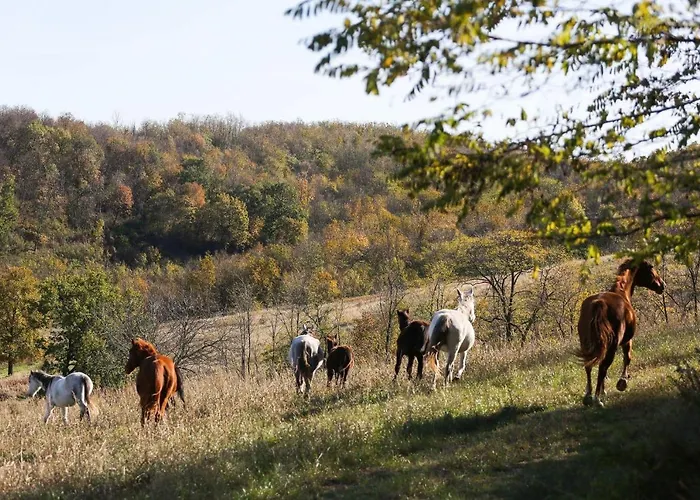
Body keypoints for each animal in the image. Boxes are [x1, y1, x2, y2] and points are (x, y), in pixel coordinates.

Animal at [577, 259, 665, 407]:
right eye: (651, 268)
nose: (662, 285)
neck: (622, 292)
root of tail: (599, 303)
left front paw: (604, 390)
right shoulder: (627, 341)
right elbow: (627, 358)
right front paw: (622, 382)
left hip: (588, 345)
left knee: (589, 366)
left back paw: (588, 396)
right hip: (611, 346)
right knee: (602, 367)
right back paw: (597, 400)